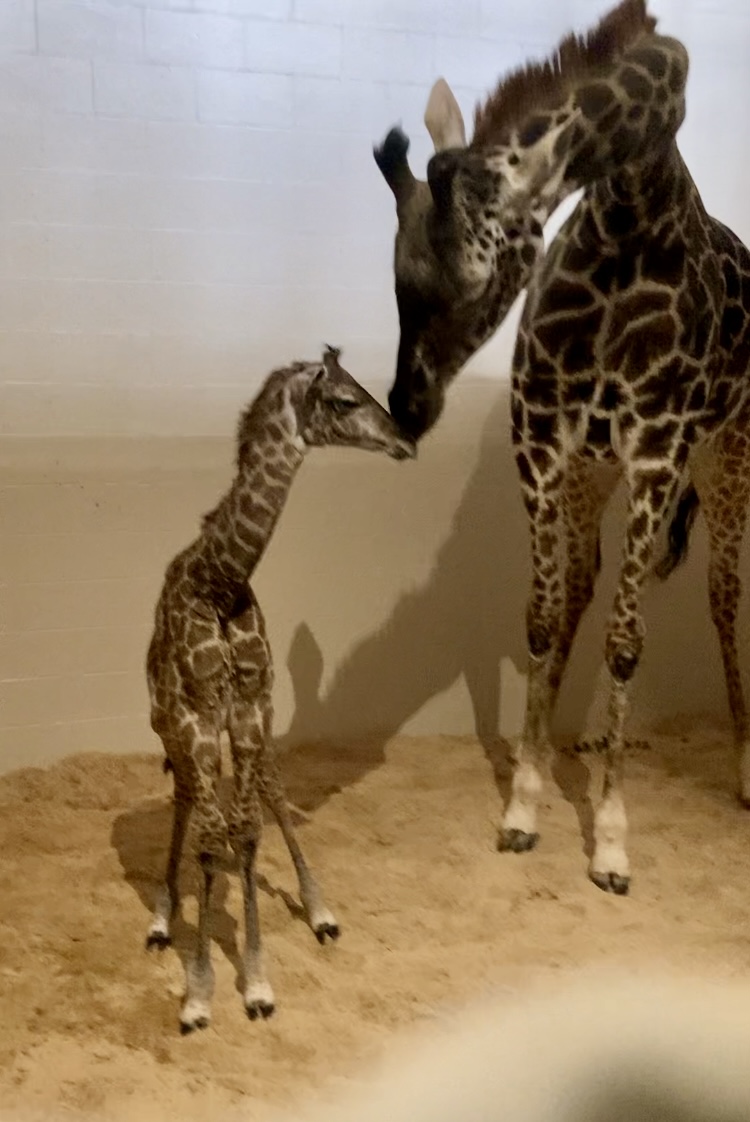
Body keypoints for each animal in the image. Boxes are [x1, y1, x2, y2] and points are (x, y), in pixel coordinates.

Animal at [144, 343, 415, 1032]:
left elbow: (246, 833)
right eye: (345, 400)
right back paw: (160, 917)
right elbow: (212, 841)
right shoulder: (198, 718)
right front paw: (199, 995)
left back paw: (318, 911)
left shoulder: (250, 710)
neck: (218, 581)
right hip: (169, 724)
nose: (404, 441)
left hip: (246, 728)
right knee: (186, 800)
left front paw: (258, 983)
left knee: (262, 790)